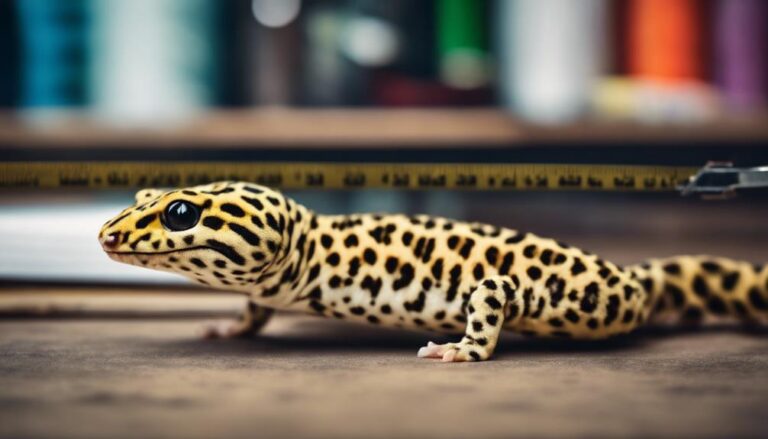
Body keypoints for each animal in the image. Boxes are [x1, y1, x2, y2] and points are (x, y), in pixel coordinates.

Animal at [98, 181, 768, 362]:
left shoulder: (501, 282)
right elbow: (254, 309)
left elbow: (493, 290)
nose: (104, 234)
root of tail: (635, 276)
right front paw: (230, 327)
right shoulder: (267, 286)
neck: (309, 243)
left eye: (180, 212)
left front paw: (464, 350)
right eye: (140, 195)